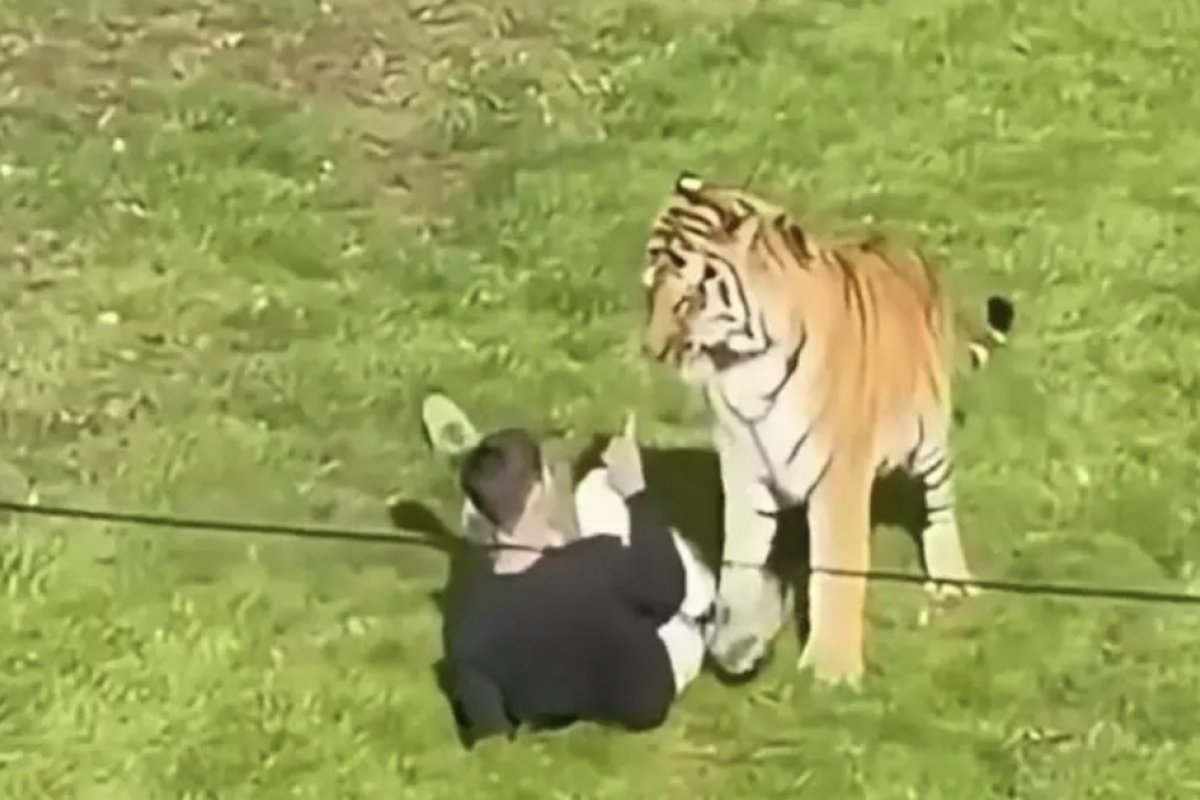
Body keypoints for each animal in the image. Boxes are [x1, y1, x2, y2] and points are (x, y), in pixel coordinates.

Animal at [639, 171, 1016, 686]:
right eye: (648, 289)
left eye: (690, 297)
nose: (652, 349)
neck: (743, 368)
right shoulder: (743, 469)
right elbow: (740, 563)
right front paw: (737, 645)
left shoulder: (839, 474)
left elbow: (835, 570)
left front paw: (831, 670)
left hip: (930, 438)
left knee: (940, 506)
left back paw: (951, 579)